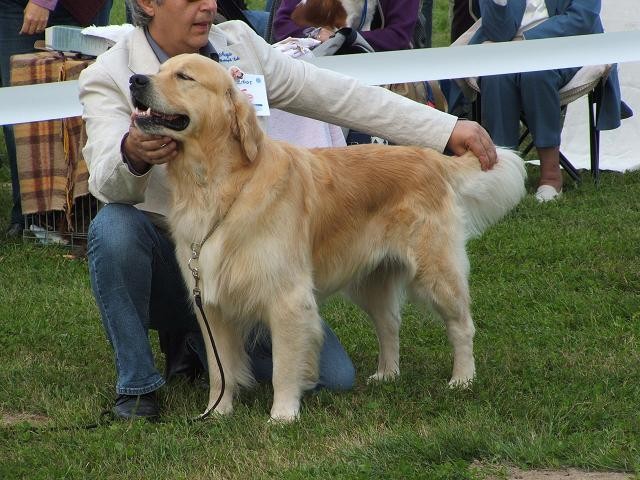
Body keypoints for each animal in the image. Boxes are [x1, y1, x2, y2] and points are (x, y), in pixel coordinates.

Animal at [129, 51, 524, 420]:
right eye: (159, 70)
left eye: (184, 76)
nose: (135, 80)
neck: (216, 185)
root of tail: (430, 158)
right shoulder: (211, 302)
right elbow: (219, 368)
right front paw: (217, 412)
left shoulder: (287, 298)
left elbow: (284, 367)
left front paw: (283, 415)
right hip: (372, 280)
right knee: (390, 325)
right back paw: (387, 374)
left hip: (435, 272)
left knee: (462, 326)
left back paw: (463, 379)